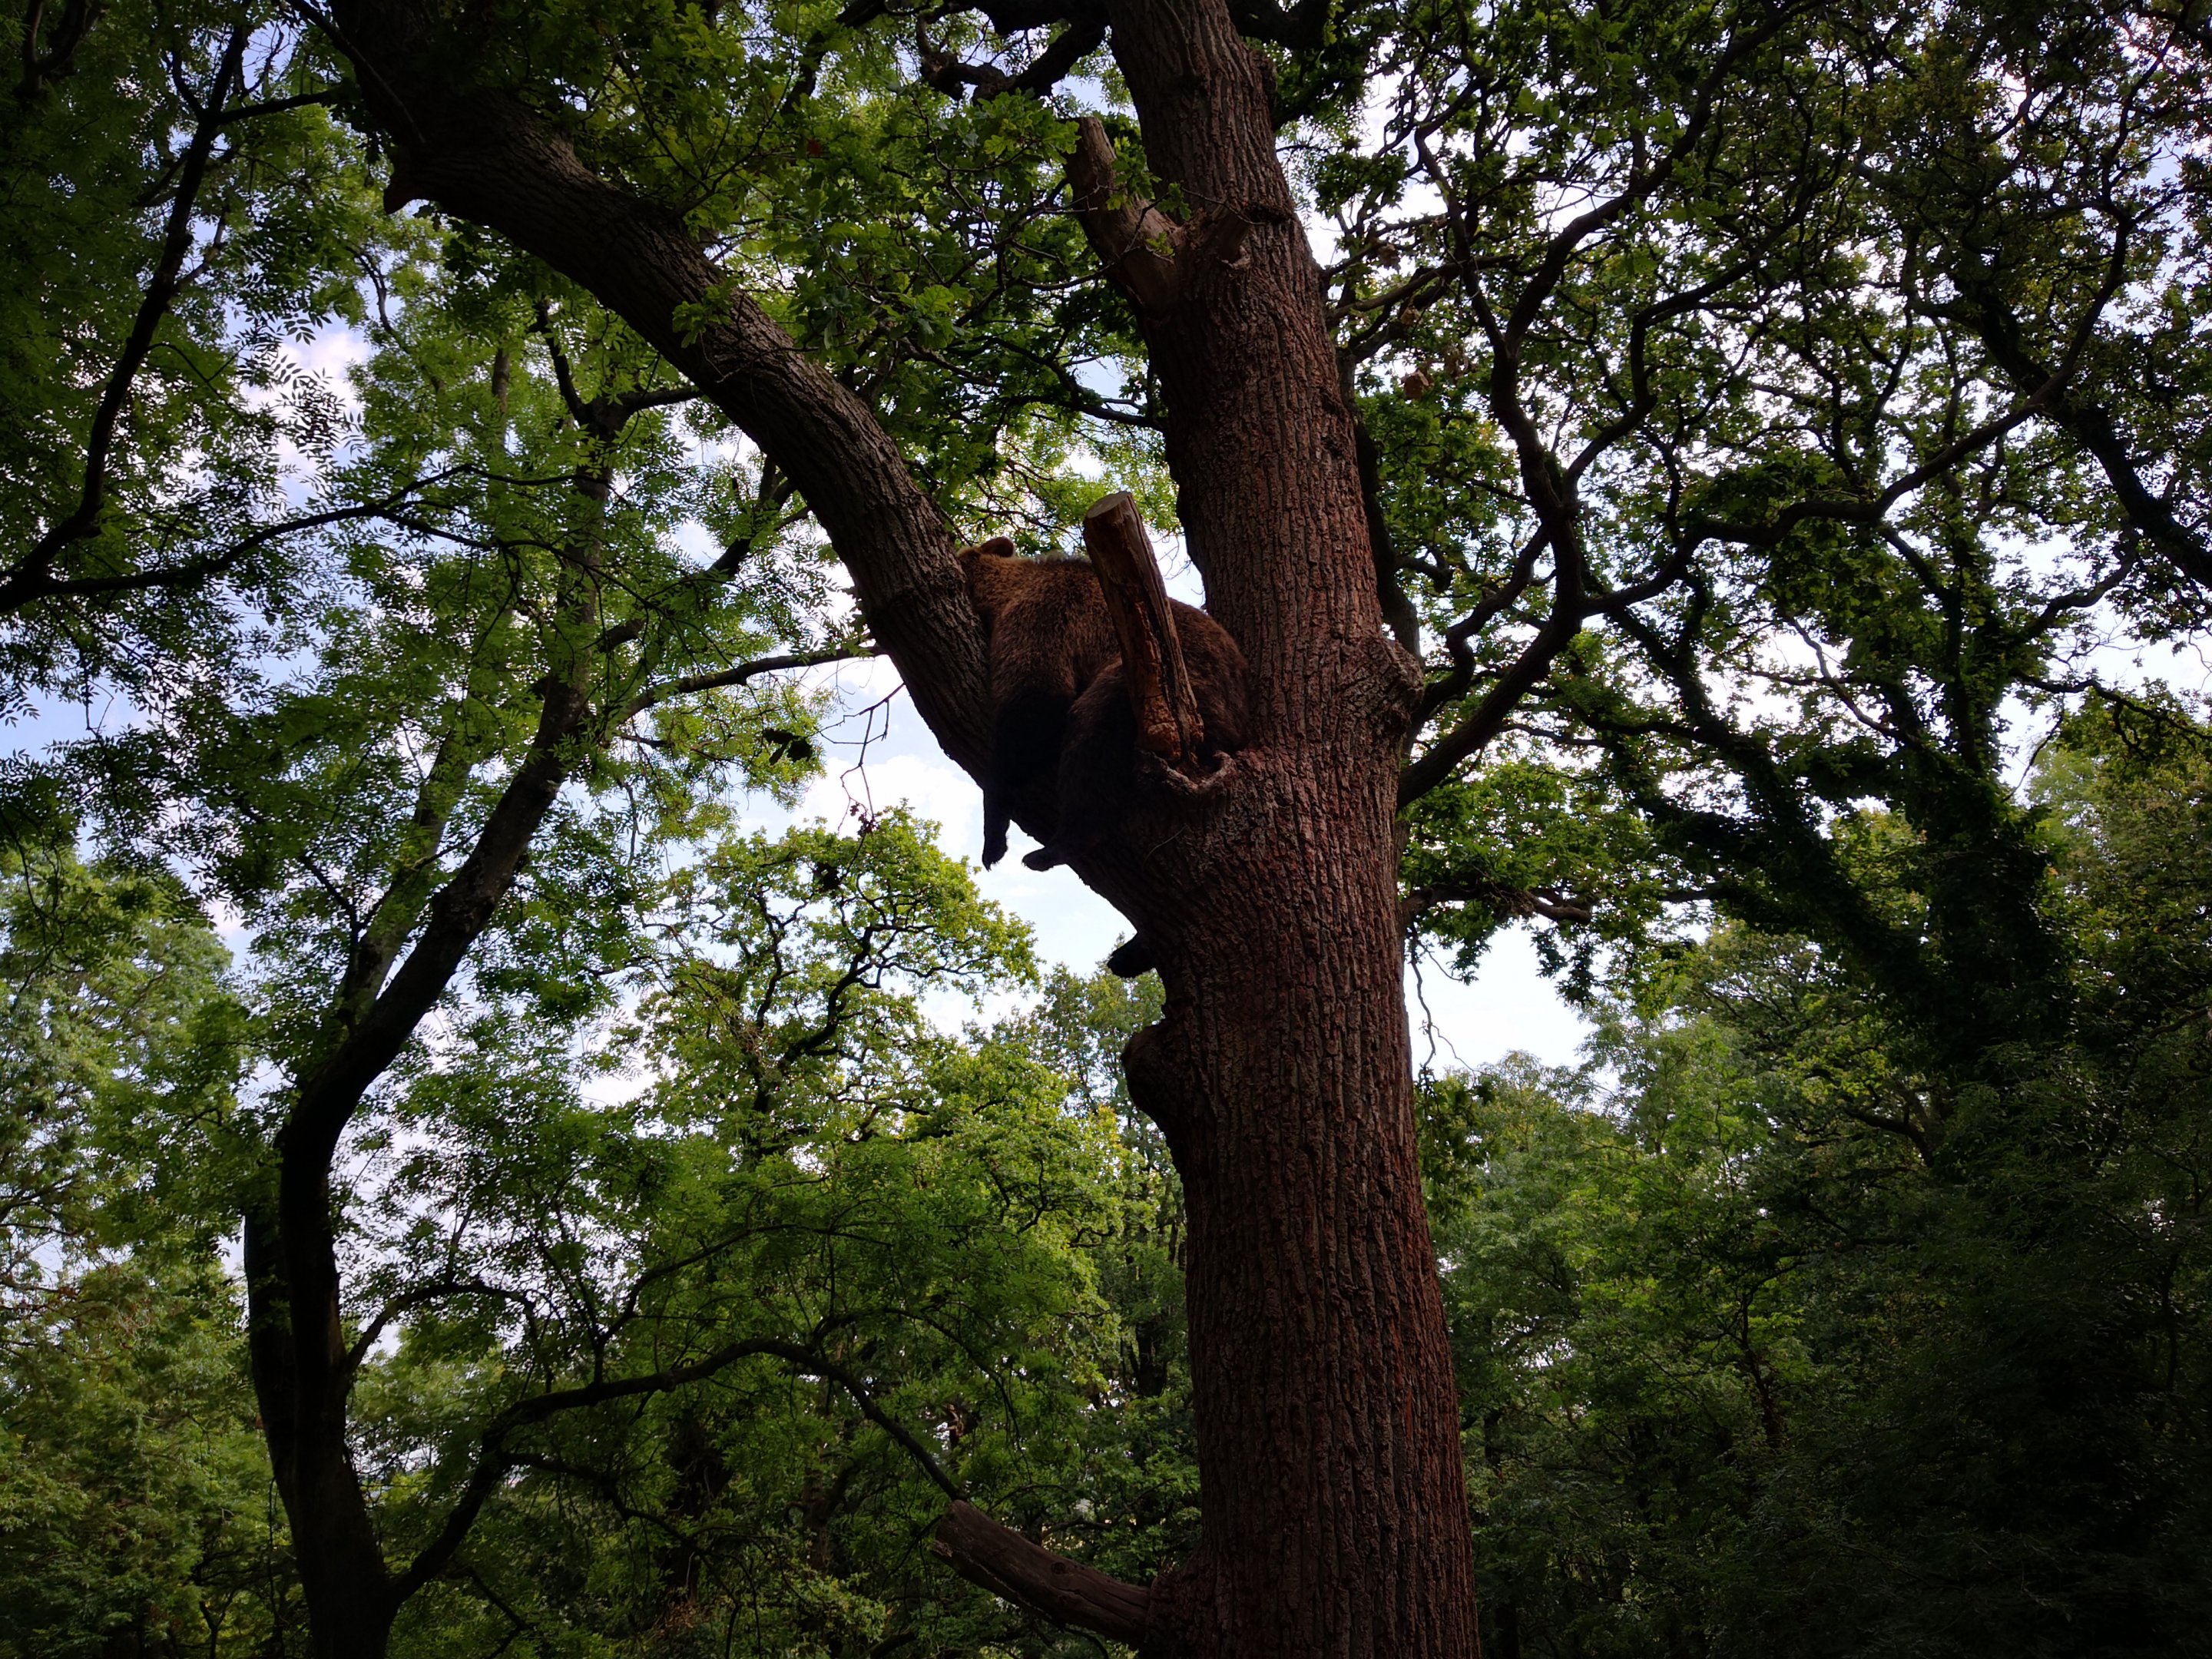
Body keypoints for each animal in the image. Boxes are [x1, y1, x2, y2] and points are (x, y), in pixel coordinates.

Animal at [959, 537, 1250, 877]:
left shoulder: (1044, 618)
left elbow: (1034, 707)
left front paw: (993, 841)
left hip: (1165, 684)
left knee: (1093, 733)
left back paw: (1053, 849)